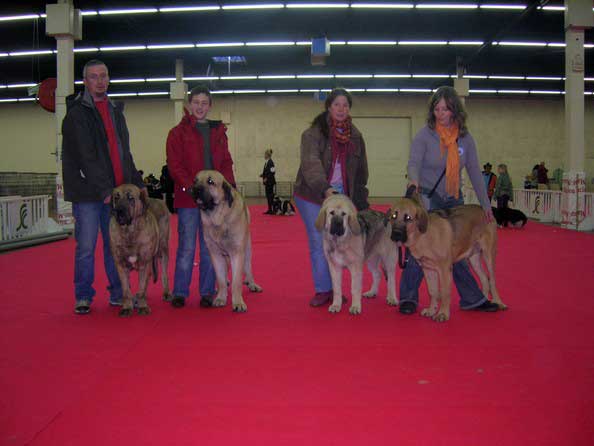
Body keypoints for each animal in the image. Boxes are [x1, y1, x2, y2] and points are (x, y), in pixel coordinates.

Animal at [109, 183, 171, 316]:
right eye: (116, 198)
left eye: (130, 198)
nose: (119, 211)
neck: (129, 232)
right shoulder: (121, 265)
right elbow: (126, 290)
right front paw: (127, 307)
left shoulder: (144, 263)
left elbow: (142, 286)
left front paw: (143, 307)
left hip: (163, 249)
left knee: (163, 273)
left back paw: (166, 293)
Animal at [192, 169, 262, 312]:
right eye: (195, 181)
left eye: (210, 181)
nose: (195, 189)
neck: (219, 218)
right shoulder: (215, 254)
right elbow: (220, 279)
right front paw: (220, 298)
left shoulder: (237, 253)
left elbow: (237, 281)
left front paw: (238, 303)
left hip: (247, 250)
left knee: (248, 268)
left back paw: (252, 284)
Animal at [388, 193, 504, 322]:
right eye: (393, 216)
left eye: (408, 218)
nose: (396, 234)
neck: (423, 235)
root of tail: (485, 210)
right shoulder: (428, 269)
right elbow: (432, 291)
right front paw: (431, 310)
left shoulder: (444, 269)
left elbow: (444, 292)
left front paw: (442, 314)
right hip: (473, 258)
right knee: (484, 278)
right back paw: (484, 301)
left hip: (489, 254)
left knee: (492, 280)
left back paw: (498, 302)